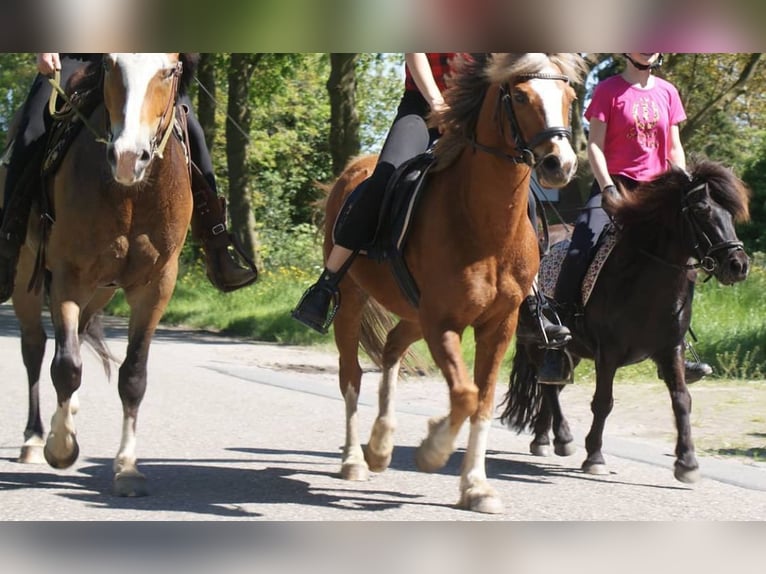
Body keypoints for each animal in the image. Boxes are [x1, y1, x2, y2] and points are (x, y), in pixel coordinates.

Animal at [9, 53, 194, 496]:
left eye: (169, 71)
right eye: (110, 65)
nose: (128, 157)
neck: (129, 195)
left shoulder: (155, 286)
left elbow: (133, 375)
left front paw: (127, 468)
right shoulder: (68, 275)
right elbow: (66, 365)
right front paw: (60, 448)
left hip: (101, 291)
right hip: (28, 277)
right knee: (35, 348)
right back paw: (34, 437)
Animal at [323, 53, 587, 514]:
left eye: (569, 97)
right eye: (520, 96)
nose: (561, 164)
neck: (484, 223)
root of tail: (354, 169)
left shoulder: (497, 326)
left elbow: (481, 400)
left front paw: (476, 487)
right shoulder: (442, 322)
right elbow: (464, 394)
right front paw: (433, 451)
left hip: (414, 313)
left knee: (391, 348)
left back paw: (381, 445)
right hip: (353, 302)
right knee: (351, 376)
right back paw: (355, 459)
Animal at [500, 160, 750, 483]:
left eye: (730, 213)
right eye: (701, 210)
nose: (739, 265)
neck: (645, 280)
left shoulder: (671, 350)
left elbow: (682, 399)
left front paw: (687, 463)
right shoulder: (608, 353)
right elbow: (603, 402)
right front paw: (594, 456)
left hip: (571, 350)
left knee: (550, 384)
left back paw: (544, 438)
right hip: (539, 343)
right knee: (548, 386)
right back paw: (563, 437)